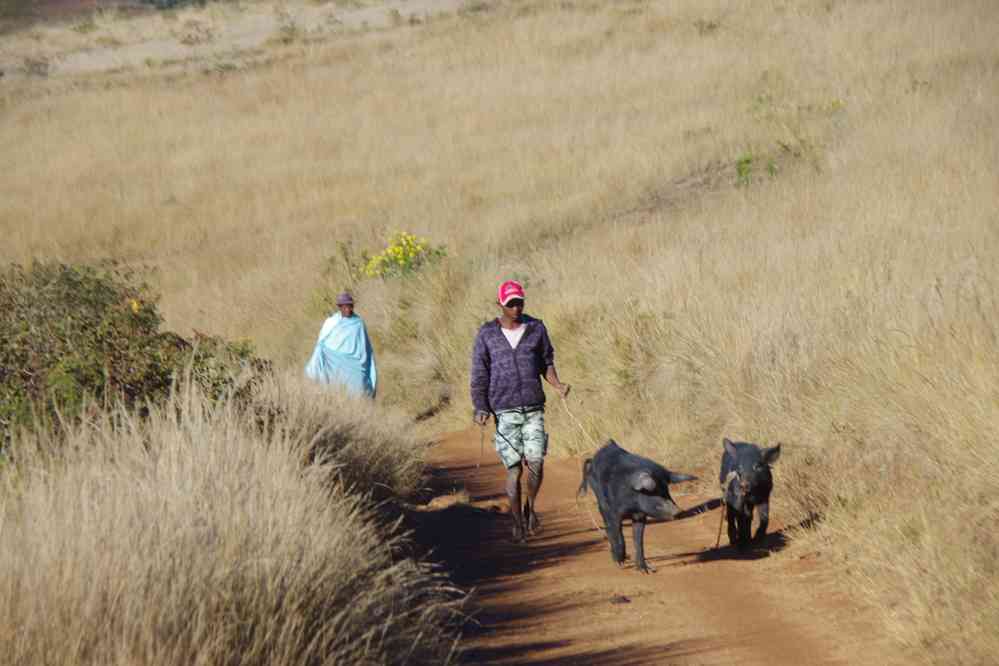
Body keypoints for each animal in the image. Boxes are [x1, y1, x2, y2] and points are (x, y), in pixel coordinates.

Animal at [580, 438, 696, 572]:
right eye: (653, 492)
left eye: (667, 491)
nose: (679, 511)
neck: (633, 505)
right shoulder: (614, 514)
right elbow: (619, 535)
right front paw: (621, 562)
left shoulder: (640, 516)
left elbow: (638, 540)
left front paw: (646, 571)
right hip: (600, 501)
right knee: (608, 528)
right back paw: (617, 560)